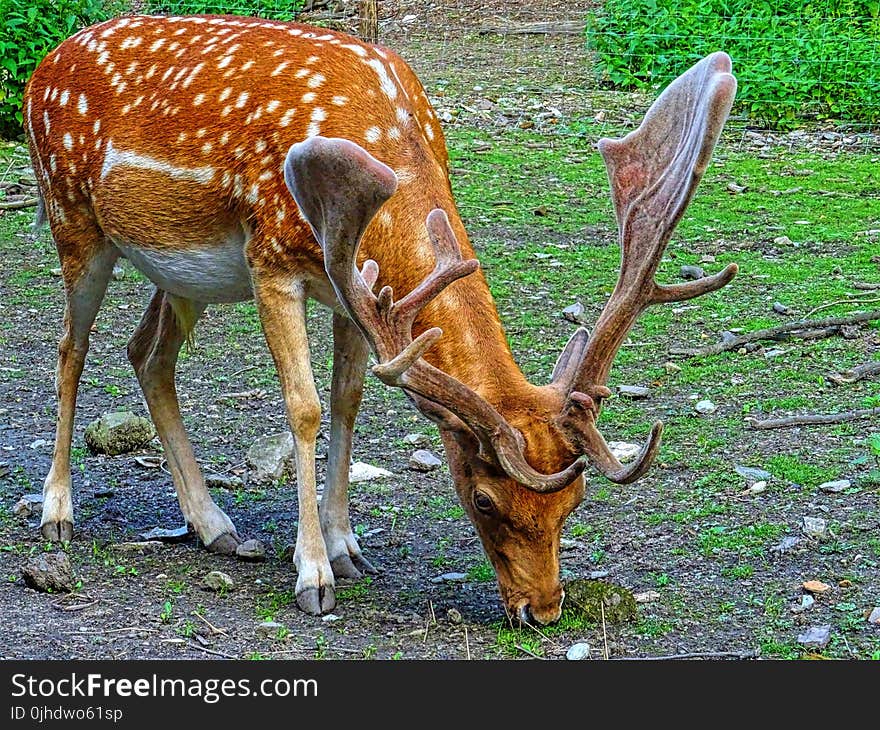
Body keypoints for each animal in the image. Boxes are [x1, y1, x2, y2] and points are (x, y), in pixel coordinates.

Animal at [22, 12, 736, 620]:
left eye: (574, 501)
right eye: (482, 499)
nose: (543, 609)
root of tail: (42, 66)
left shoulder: (355, 292)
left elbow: (348, 399)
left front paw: (347, 547)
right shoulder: (271, 259)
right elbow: (305, 407)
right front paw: (313, 574)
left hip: (180, 274)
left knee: (147, 354)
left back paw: (215, 525)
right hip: (72, 218)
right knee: (69, 351)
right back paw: (57, 514)